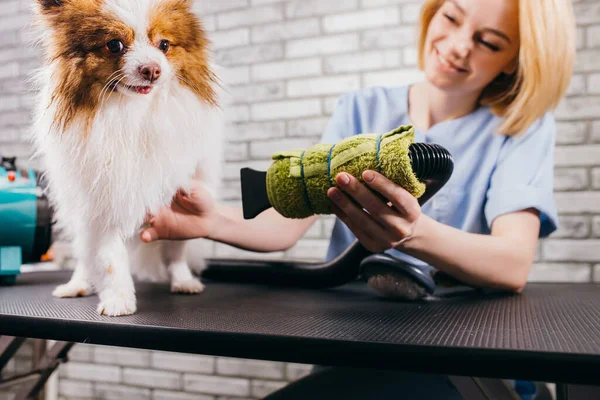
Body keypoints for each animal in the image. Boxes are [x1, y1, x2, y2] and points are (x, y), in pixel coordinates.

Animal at [28, 0, 225, 318]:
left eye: (164, 44)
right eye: (115, 45)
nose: (152, 69)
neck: (134, 112)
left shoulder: (181, 195)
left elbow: (175, 248)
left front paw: (183, 280)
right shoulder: (103, 200)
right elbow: (109, 258)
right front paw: (119, 299)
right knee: (84, 257)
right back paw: (76, 285)